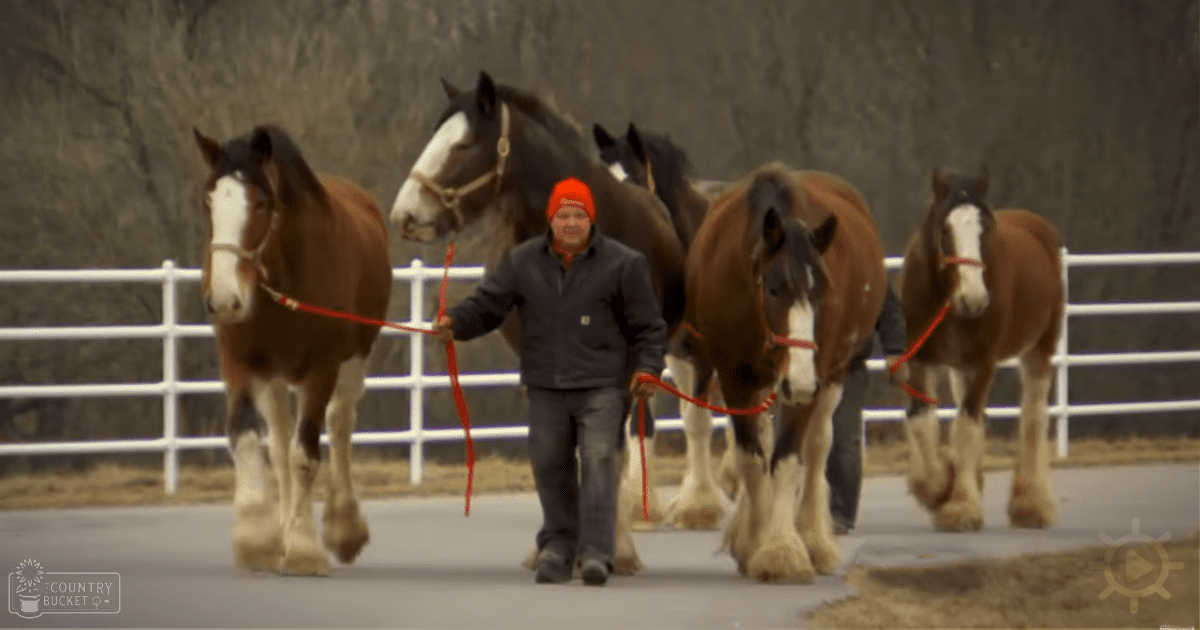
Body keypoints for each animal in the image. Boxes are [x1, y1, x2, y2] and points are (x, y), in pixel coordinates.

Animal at [193, 125, 392, 575]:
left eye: (261, 201)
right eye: (209, 199)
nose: (225, 299)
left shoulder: (321, 370)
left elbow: (306, 455)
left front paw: (303, 548)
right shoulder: (239, 362)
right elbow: (247, 438)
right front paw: (258, 538)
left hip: (352, 362)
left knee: (338, 424)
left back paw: (343, 527)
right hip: (272, 376)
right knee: (280, 444)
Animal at [593, 122, 737, 530]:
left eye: (632, 184)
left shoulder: (703, 355)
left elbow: (697, 422)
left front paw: (698, 507)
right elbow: (641, 422)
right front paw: (638, 506)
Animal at [686, 163, 886, 582]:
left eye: (822, 289)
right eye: (775, 288)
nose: (802, 381)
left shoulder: (810, 381)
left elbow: (788, 458)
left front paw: (780, 548)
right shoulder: (735, 379)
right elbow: (752, 459)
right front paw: (754, 542)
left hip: (833, 377)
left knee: (817, 447)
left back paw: (813, 539)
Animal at [898, 167, 1062, 531]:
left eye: (984, 228)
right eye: (945, 229)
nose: (974, 299)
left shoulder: (983, 363)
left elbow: (966, 428)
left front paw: (959, 507)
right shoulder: (921, 360)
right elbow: (921, 421)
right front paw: (938, 487)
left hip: (1038, 351)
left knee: (1033, 417)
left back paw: (1031, 505)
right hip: (962, 367)